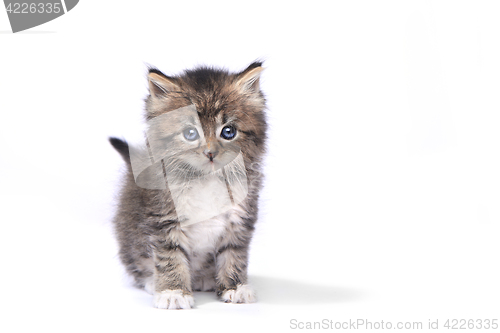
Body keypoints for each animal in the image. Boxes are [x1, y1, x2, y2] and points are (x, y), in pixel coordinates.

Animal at [108, 61, 268, 308]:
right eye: (190, 133)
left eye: (228, 131)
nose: (210, 153)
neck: (205, 179)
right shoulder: (164, 219)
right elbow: (170, 256)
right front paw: (173, 292)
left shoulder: (240, 218)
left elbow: (234, 254)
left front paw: (234, 287)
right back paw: (153, 282)